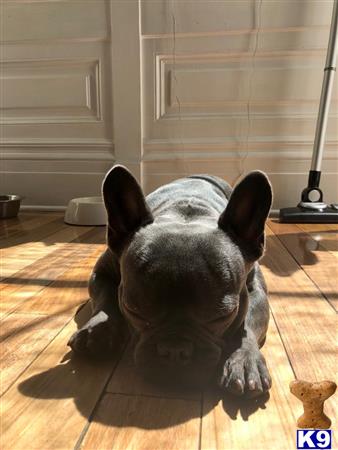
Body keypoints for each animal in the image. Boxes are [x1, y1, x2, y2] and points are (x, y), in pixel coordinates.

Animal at [68, 165, 272, 398]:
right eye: (133, 310)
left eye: (222, 316)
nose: (175, 350)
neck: (185, 212)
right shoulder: (101, 274)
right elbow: (106, 299)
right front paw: (99, 330)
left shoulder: (256, 291)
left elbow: (249, 323)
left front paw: (245, 361)